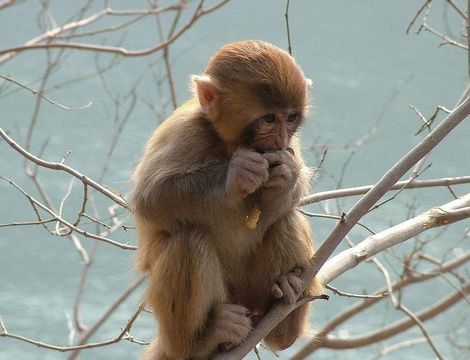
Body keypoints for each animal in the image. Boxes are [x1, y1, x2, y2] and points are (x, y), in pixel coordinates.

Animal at [132, 40, 324, 358]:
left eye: (290, 117)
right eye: (269, 118)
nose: (280, 139)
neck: (231, 144)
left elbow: (292, 195)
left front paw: (285, 176)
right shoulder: (185, 131)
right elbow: (149, 199)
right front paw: (237, 173)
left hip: (251, 294)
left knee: (287, 219)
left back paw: (285, 316)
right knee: (190, 239)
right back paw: (201, 340)